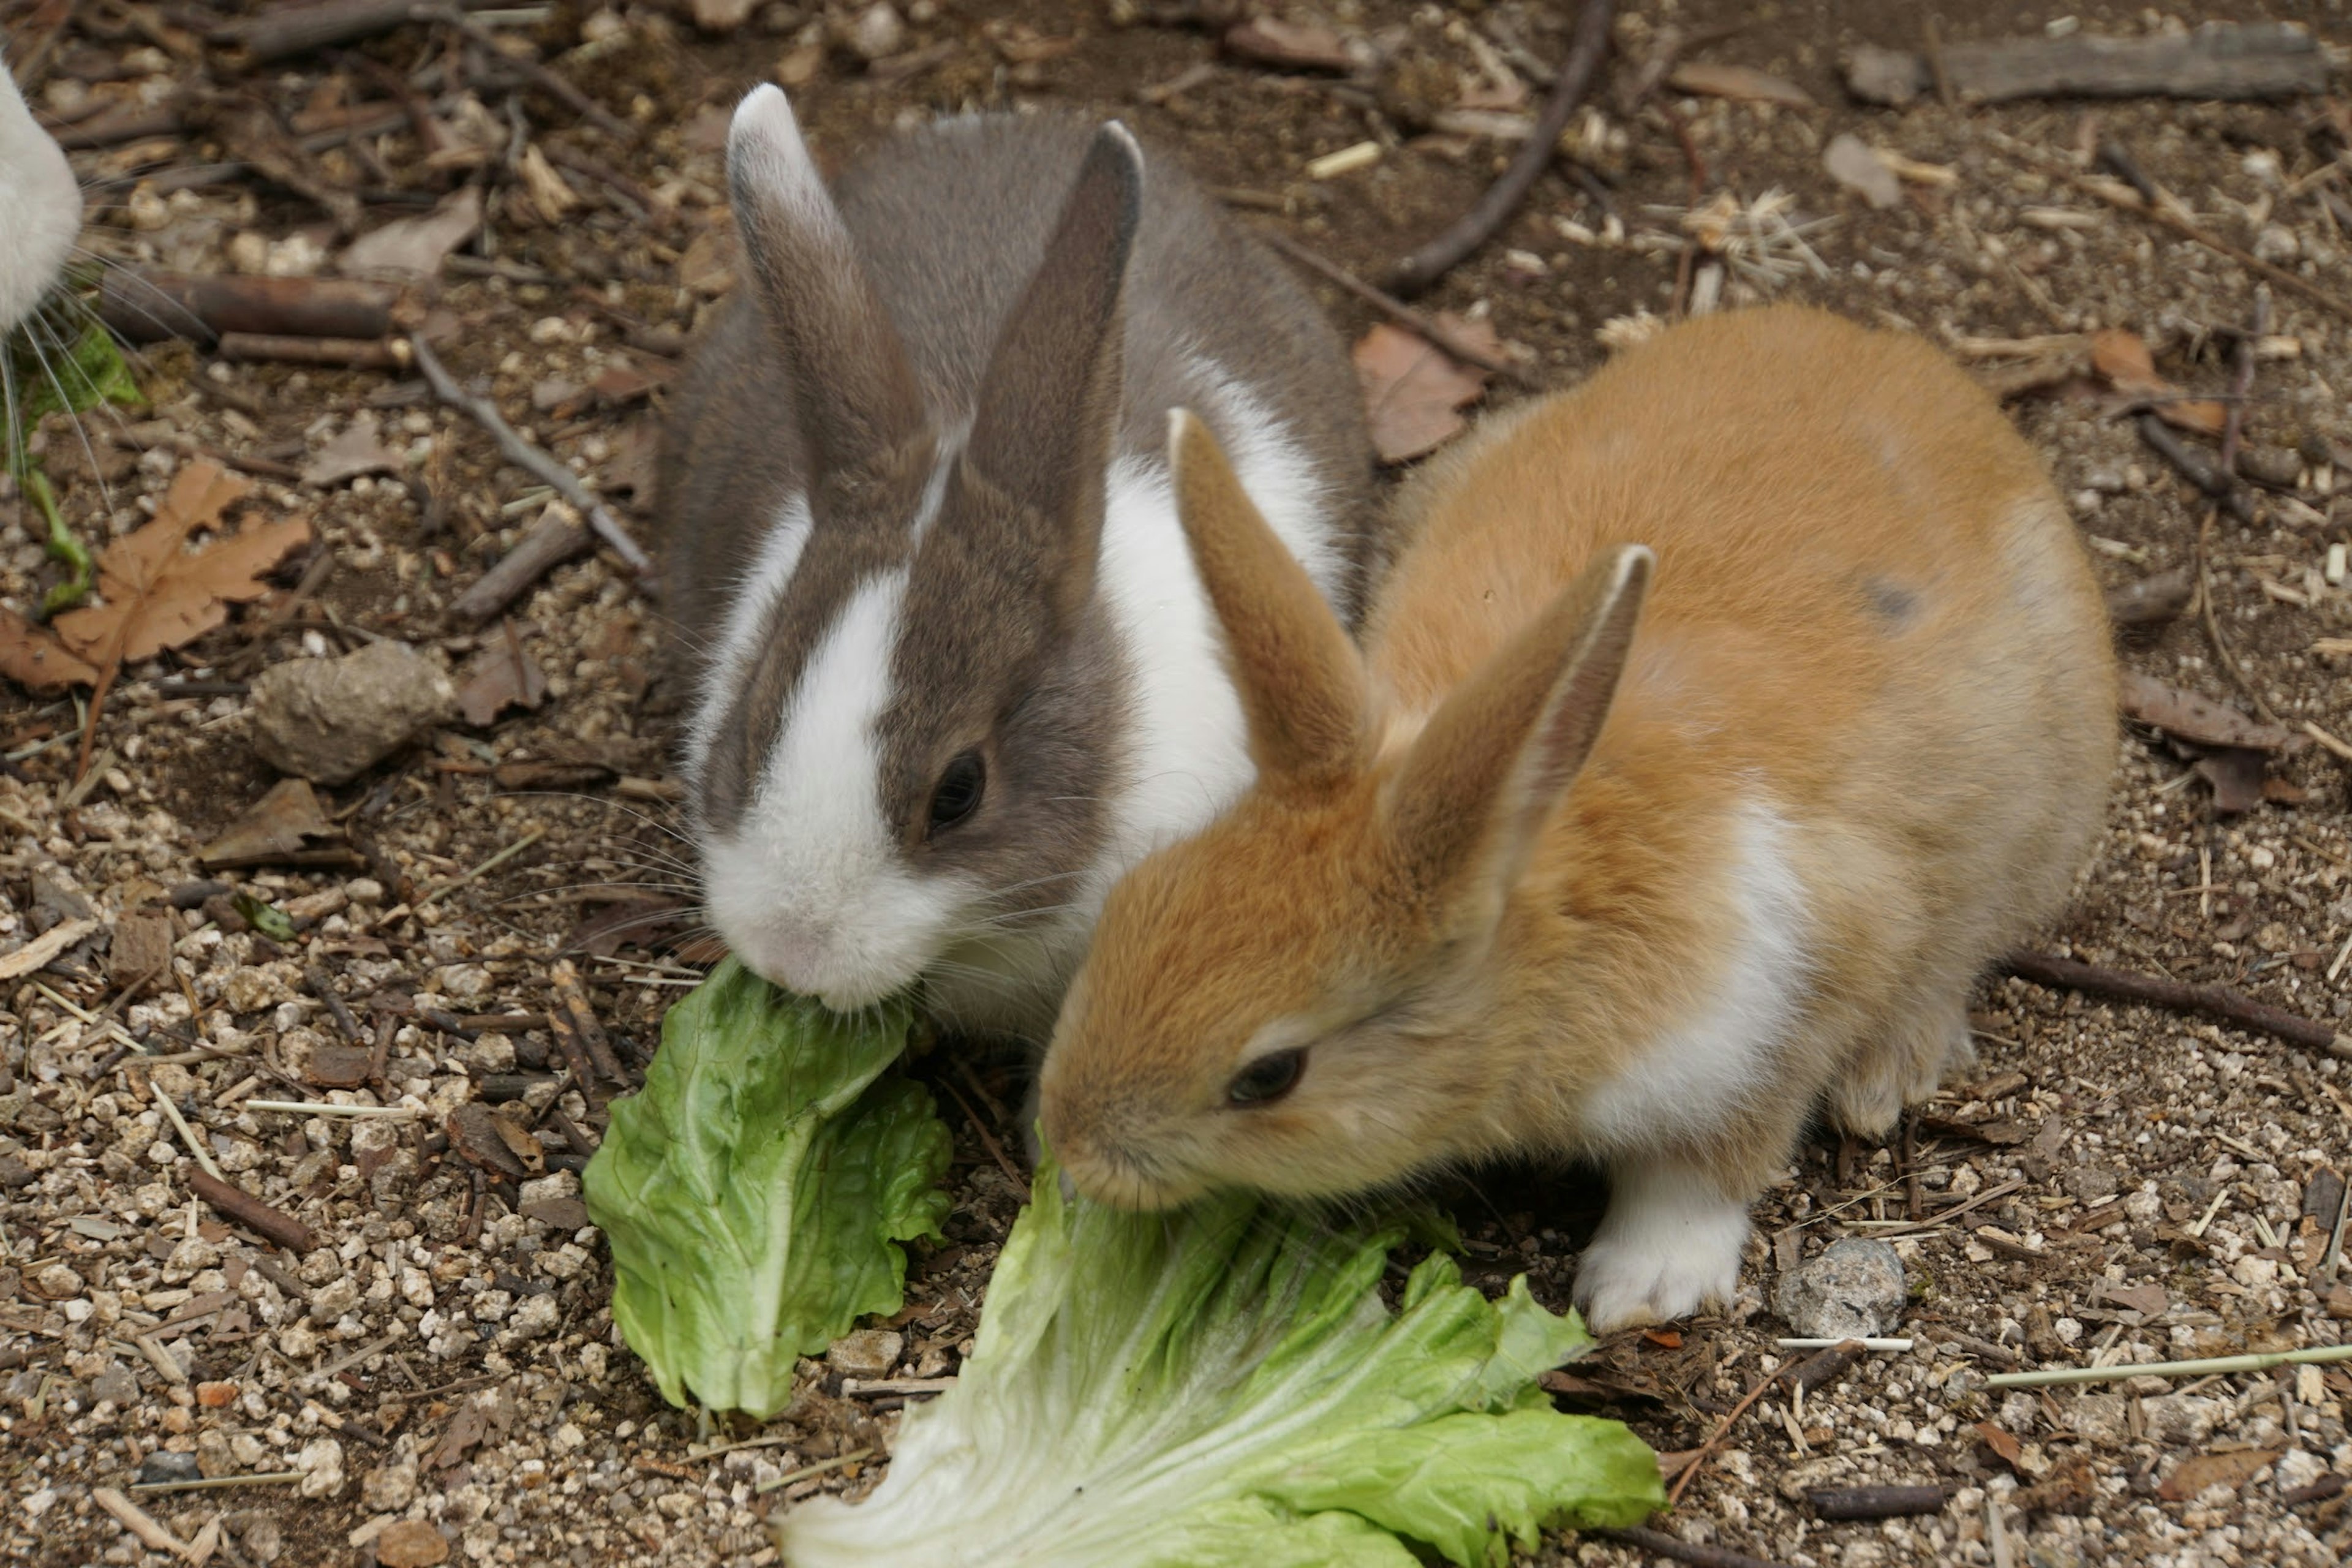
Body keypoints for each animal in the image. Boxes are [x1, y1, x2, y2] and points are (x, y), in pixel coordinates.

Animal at [1035, 310, 2117, 1335]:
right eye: (1134, 902)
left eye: (1270, 1075)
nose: (1076, 1149)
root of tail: (1917, 372)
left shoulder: (1782, 1007)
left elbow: (1710, 1165)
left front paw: (1642, 1288)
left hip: (2027, 828)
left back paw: (1886, 1078)